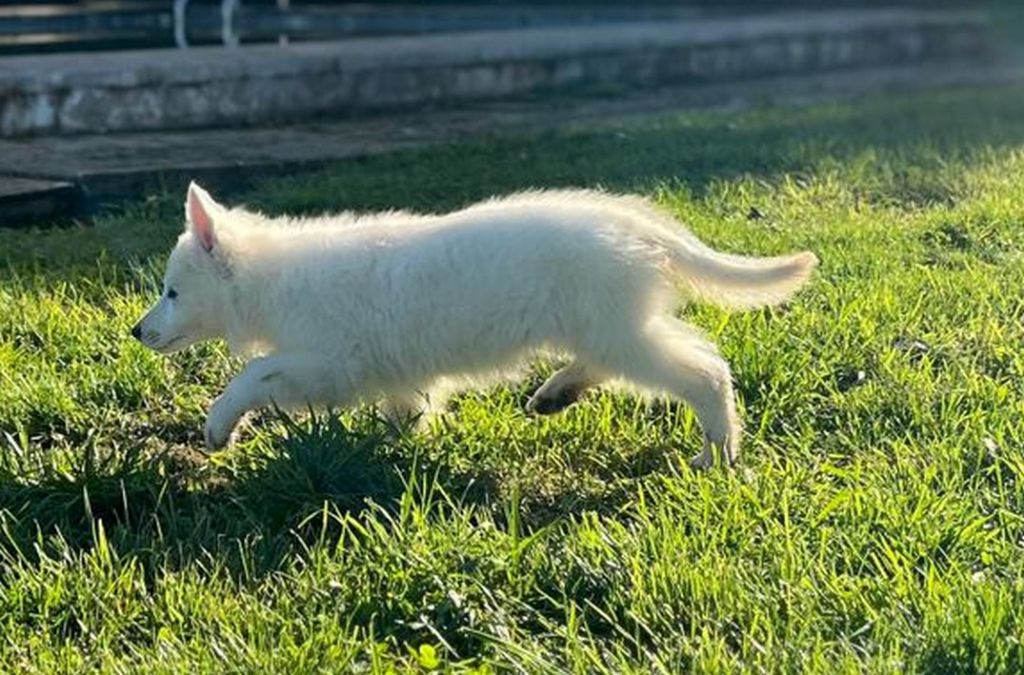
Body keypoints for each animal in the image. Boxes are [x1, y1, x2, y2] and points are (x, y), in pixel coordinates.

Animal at [134, 184, 815, 469]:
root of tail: (638, 224)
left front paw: (218, 427)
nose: (138, 334)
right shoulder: (385, 368)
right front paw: (395, 445)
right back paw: (557, 393)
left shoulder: (329, 362)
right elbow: (406, 409)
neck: (272, 279)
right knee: (622, 361)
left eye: (172, 292)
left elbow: (253, 374)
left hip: (615, 325)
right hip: (609, 324)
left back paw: (718, 452)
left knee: (704, 370)